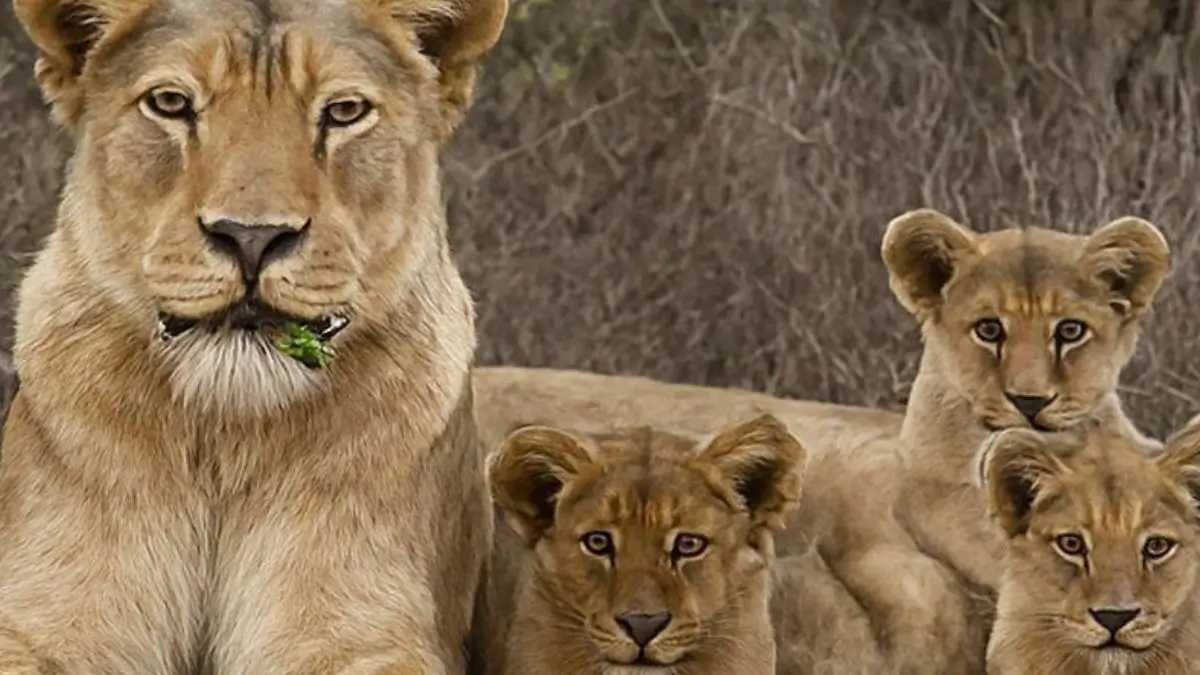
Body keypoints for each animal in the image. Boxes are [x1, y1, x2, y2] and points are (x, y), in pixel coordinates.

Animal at [2, 0, 506, 672]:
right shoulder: (43, 619)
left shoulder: (368, 631)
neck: (225, 436)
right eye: (170, 103)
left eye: (344, 111)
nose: (251, 237)